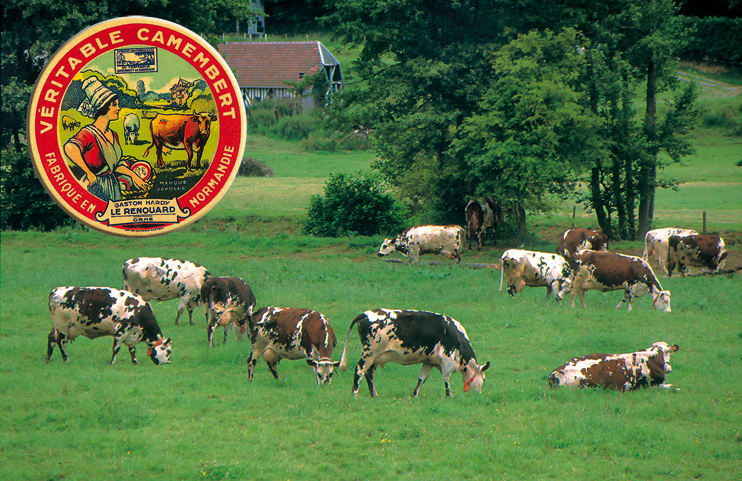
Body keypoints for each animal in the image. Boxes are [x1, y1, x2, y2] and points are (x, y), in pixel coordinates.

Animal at [338, 308, 492, 398]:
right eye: (484, 379)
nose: (478, 395)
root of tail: (366, 313)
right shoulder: (447, 359)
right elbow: (446, 378)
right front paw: (449, 396)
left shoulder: (429, 361)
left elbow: (422, 378)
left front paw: (415, 394)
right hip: (369, 353)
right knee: (359, 370)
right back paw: (354, 393)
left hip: (376, 356)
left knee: (369, 373)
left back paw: (374, 395)